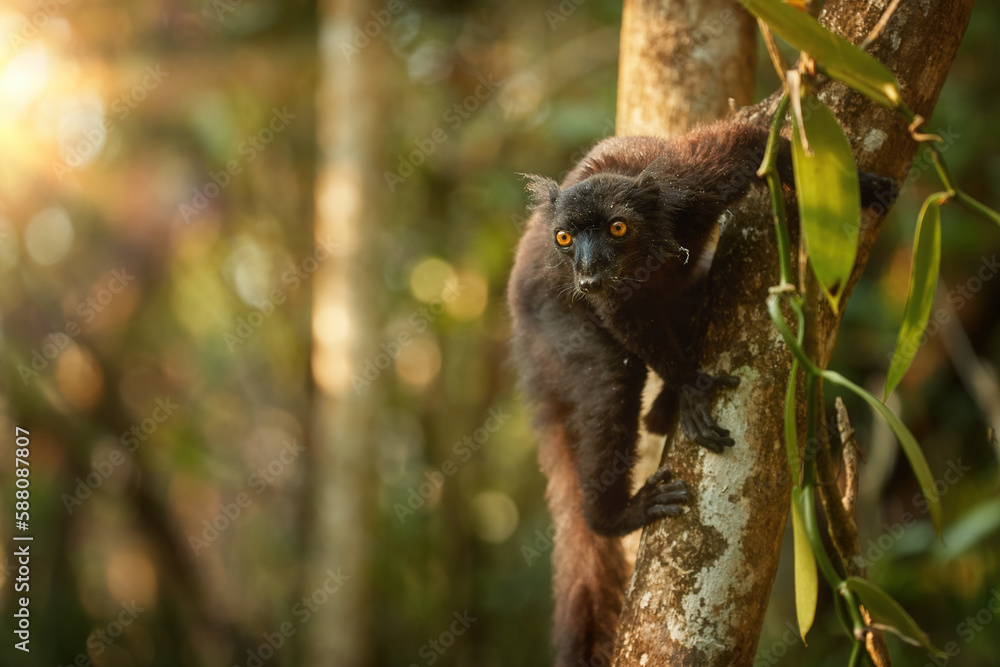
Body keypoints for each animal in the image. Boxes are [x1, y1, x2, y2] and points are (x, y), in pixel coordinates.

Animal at [506, 119, 896, 667]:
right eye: (565, 238)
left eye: (617, 229)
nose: (588, 274)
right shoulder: (610, 293)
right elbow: (621, 315)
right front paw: (688, 386)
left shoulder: (690, 185)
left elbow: (757, 144)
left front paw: (861, 186)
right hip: (555, 329)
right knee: (607, 387)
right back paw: (612, 514)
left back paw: (659, 413)